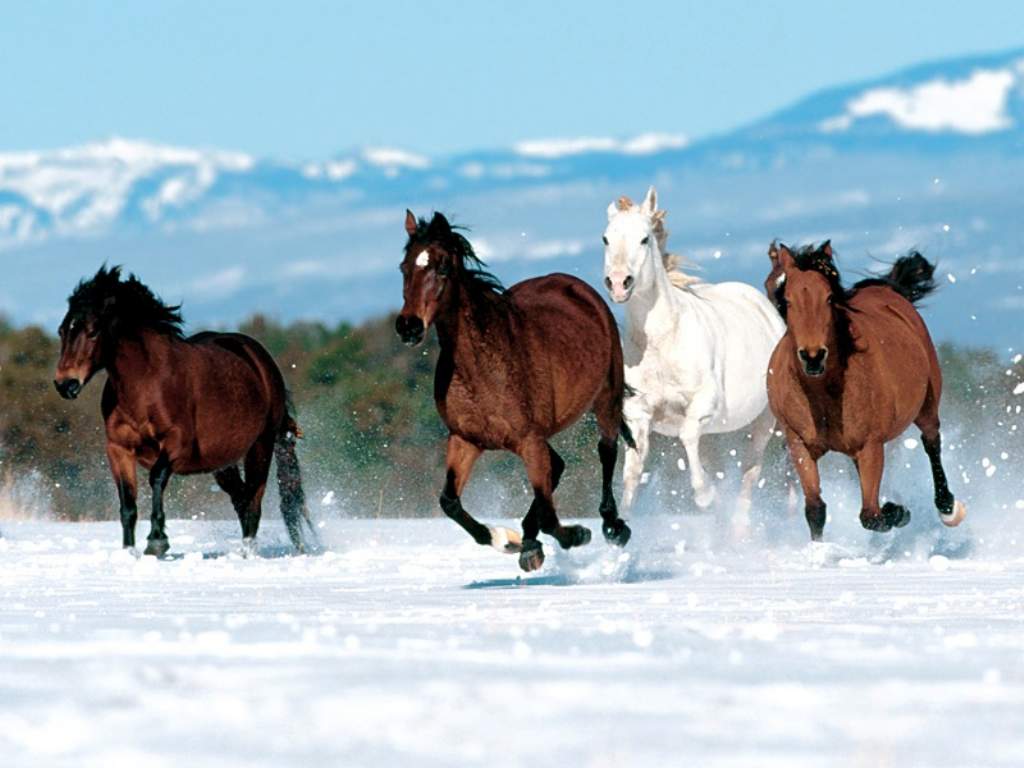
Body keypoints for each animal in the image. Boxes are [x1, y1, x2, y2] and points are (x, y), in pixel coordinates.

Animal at [55, 268, 311, 557]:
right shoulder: (118, 449)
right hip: (223, 462)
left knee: (254, 501)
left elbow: (156, 477)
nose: (65, 384)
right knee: (241, 499)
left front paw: (157, 541)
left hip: (261, 445)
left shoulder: (177, 444)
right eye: (62, 331)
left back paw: (248, 553)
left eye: (93, 331)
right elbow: (127, 503)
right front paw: (129, 552)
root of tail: (261, 361)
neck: (145, 382)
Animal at [397, 210, 630, 573]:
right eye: (404, 267)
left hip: (607, 398)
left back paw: (613, 527)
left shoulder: (529, 440)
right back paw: (529, 543)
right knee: (557, 468)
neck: (483, 368)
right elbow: (450, 502)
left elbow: (550, 515)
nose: (408, 327)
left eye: (443, 267)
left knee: (606, 451)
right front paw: (508, 541)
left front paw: (577, 534)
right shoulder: (465, 440)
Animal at [598, 189, 782, 532]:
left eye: (644, 239)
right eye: (606, 238)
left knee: (750, 471)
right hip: (716, 433)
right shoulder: (638, 415)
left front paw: (705, 496)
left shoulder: (703, 405)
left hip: (764, 421)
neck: (663, 342)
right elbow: (632, 474)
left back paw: (738, 528)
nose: (618, 283)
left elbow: (686, 436)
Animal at [770, 241, 966, 540]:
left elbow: (870, 516)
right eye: (788, 300)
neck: (823, 393)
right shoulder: (799, 445)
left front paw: (897, 512)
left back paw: (948, 509)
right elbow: (815, 509)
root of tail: (887, 289)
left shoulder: (871, 447)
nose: (813, 356)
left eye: (829, 298)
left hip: (926, 405)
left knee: (932, 442)